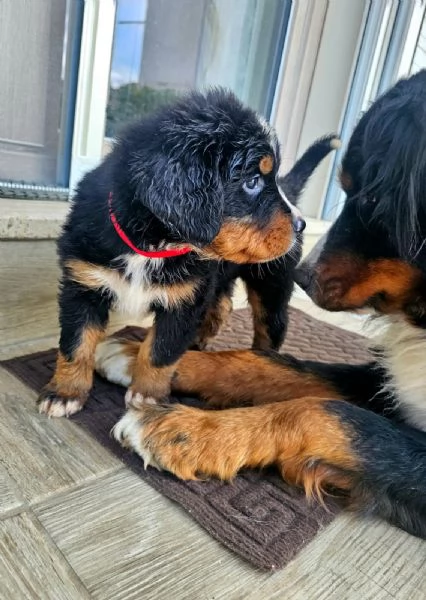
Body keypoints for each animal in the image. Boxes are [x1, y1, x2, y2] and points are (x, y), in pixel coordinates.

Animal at [40, 89, 338, 418]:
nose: (301, 224)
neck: (152, 246)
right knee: (222, 305)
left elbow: (160, 352)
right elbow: (76, 344)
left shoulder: (183, 302)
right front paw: (65, 392)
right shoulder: (83, 285)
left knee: (270, 326)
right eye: (252, 181)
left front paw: (148, 396)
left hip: (271, 284)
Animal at [95, 69, 426, 540]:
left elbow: (325, 415)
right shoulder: (383, 380)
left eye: (373, 199)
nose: (304, 276)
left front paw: (186, 429)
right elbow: (276, 367)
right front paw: (139, 356)